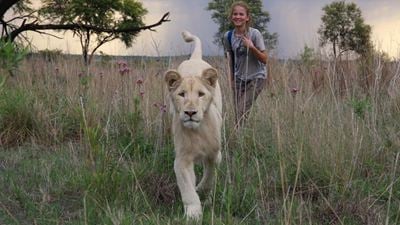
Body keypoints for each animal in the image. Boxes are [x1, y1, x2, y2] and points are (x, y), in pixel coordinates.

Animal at [164, 30, 223, 219]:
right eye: (182, 94)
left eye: (201, 94)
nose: (190, 113)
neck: (197, 131)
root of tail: (194, 58)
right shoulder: (182, 160)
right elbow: (187, 188)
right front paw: (193, 213)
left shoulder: (214, 154)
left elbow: (209, 176)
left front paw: (203, 191)